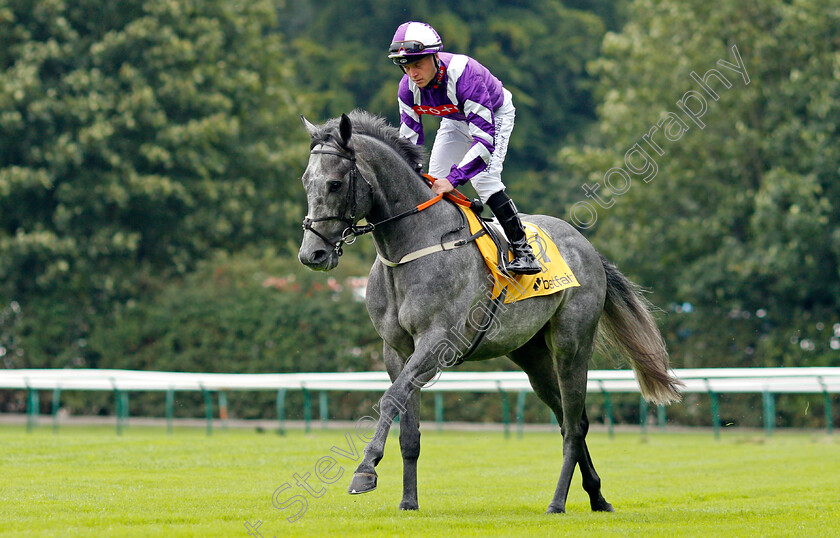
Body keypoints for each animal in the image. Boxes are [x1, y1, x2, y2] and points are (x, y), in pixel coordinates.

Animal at [296, 108, 684, 510]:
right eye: (306, 181)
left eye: (335, 184)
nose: (313, 254)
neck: (411, 248)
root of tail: (586, 245)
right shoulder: (396, 350)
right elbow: (409, 429)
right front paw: (408, 502)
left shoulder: (436, 343)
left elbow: (389, 400)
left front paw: (365, 470)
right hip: (532, 355)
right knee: (568, 419)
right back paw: (596, 495)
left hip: (572, 345)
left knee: (575, 425)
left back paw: (557, 503)